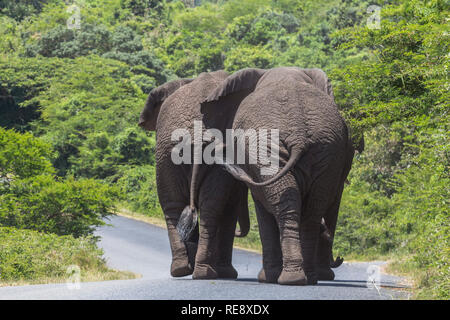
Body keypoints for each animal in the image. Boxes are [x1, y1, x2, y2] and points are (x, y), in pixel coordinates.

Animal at [137, 70, 250, 280]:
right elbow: (230, 209)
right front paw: (226, 273)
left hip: (168, 154)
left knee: (178, 207)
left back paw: (186, 270)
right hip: (172, 154)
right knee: (202, 208)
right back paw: (200, 272)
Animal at [179, 67, 356, 284]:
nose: (340, 258)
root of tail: (298, 136)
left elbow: (262, 207)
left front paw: (268, 278)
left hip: (278, 150)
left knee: (286, 206)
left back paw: (290, 279)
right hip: (325, 151)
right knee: (311, 211)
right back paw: (306, 278)